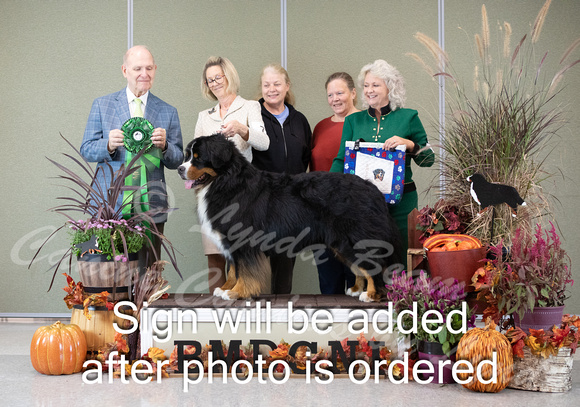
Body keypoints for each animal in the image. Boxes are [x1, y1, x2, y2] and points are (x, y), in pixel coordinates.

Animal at [179, 134, 402, 302]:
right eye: (187, 156)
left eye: (198, 157)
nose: (180, 169)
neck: (227, 181)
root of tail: (373, 189)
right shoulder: (230, 240)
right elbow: (234, 268)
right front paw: (226, 288)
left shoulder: (242, 239)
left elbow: (245, 270)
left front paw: (236, 292)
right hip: (342, 243)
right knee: (360, 266)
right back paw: (356, 290)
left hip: (355, 238)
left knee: (373, 264)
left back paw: (371, 294)